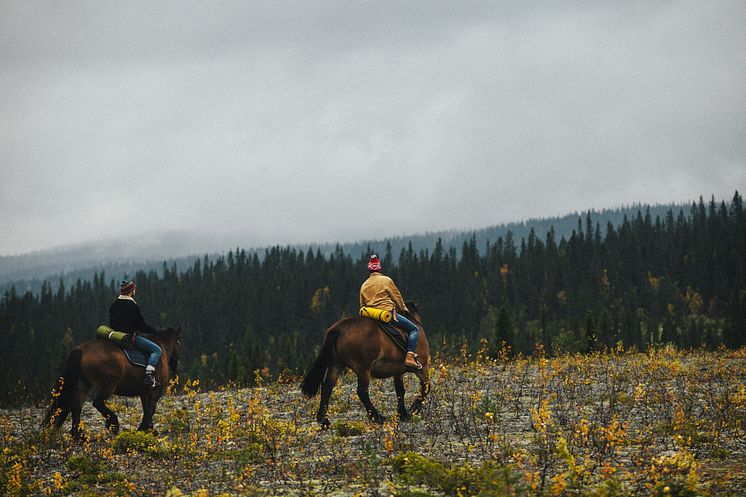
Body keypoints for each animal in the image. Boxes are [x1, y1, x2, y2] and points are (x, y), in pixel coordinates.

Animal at [41, 326, 179, 438]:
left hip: (84, 384)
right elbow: (151, 410)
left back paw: (79, 435)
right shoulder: (155, 391)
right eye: (178, 342)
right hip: (109, 384)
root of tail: (82, 349)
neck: (162, 349)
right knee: (97, 402)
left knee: (76, 407)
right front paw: (145, 429)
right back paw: (113, 424)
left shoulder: (145, 393)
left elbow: (147, 409)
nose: (176, 363)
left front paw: (147, 429)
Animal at [300, 300, 430, 428]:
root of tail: (338, 329)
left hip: (336, 366)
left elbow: (400, 391)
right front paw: (413, 409)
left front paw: (403, 414)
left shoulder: (397, 373)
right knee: (362, 392)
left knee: (327, 387)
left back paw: (323, 420)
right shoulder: (422, 368)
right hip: (363, 370)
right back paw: (377, 417)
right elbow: (426, 388)